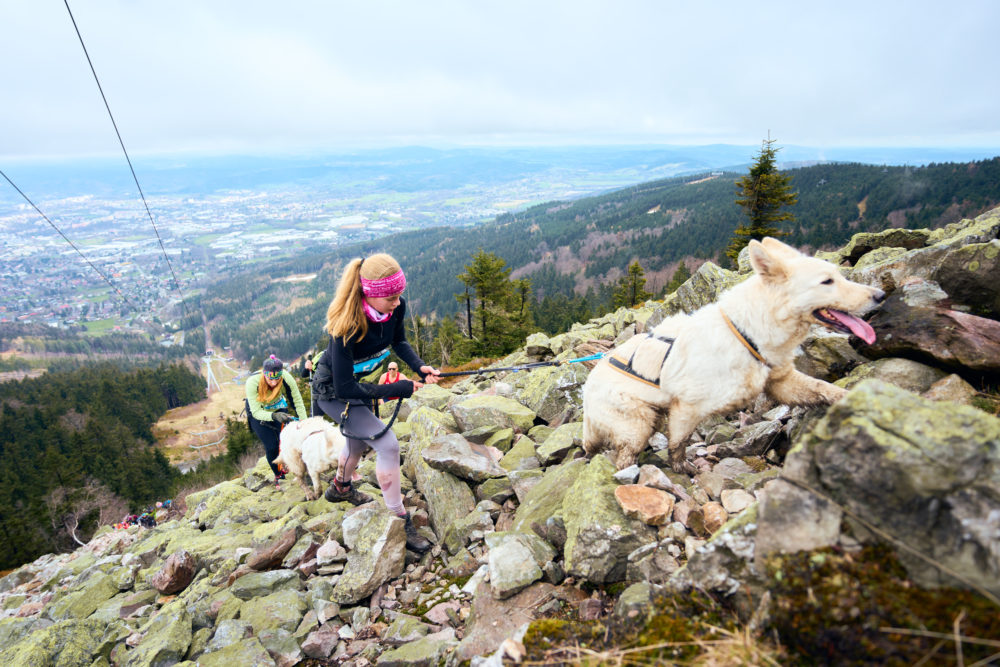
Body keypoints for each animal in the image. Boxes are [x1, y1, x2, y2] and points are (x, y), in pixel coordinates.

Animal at [584, 239, 888, 474]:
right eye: (827, 281)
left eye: (839, 275)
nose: (881, 295)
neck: (745, 332)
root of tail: (586, 391)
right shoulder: (686, 408)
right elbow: (678, 444)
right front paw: (681, 469)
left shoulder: (781, 381)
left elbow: (822, 387)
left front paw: (857, 399)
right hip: (637, 425)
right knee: (624, 457)